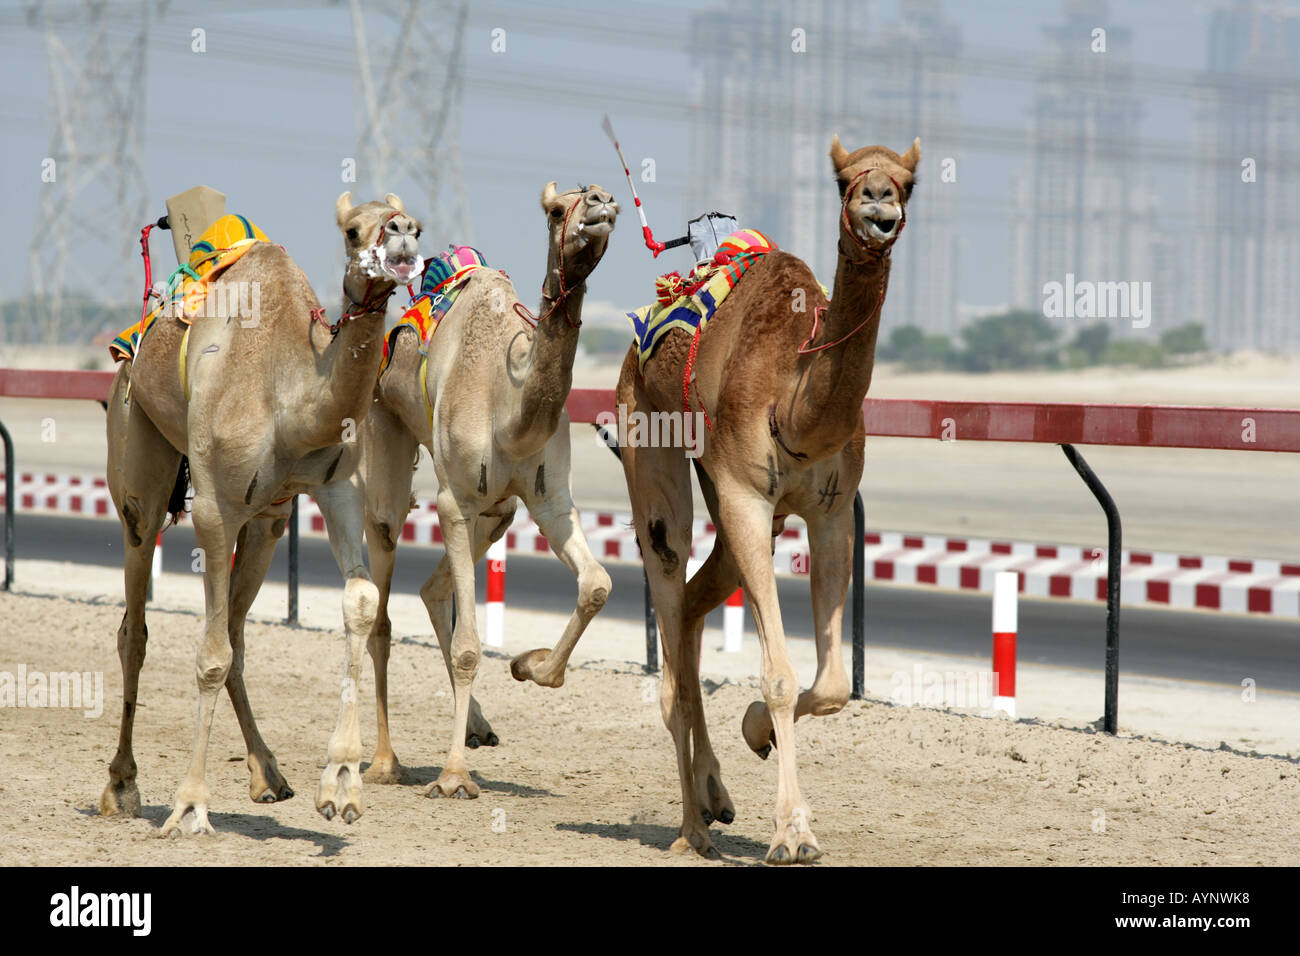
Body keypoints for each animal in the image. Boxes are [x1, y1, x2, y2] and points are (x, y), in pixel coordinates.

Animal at [99, 192, 422, 835]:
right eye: (353, 232)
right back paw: (121, 784)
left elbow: (360, 602)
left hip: (268, 520)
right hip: (138, 461)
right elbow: (209, 656)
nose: (400, 233)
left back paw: (268, 774)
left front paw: (342, 784)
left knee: (237, 630)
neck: (288, 392)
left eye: (414, 224)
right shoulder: (214, 511)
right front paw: (190, 805)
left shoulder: (338, 486)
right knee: (136, 625)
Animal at [359, 182, 618, 797]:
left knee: (433, 590)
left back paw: (478, 726)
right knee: (382, 595)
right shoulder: (454, 502)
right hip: (385, 428)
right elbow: (468, 647)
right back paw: (384, 762)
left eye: (608, 200)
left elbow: (596, 584)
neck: (511, 409)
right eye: (557, 209)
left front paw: (533, 666)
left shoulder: (550, 502)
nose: (600, 203)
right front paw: (454, 777)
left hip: (497, 514)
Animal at [616, 135, 920, 864]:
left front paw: (758, 732)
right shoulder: (746, 497)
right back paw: (691, 828)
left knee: (693, 608)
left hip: (740, 510)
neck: (794, 402)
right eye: (844, 180)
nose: (878, 204)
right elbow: (778, 673)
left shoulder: (831, 511)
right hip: (653, 447)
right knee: (669, 582)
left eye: (909, 181)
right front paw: (793, 833)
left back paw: (712, 796)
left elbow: (833, 684)